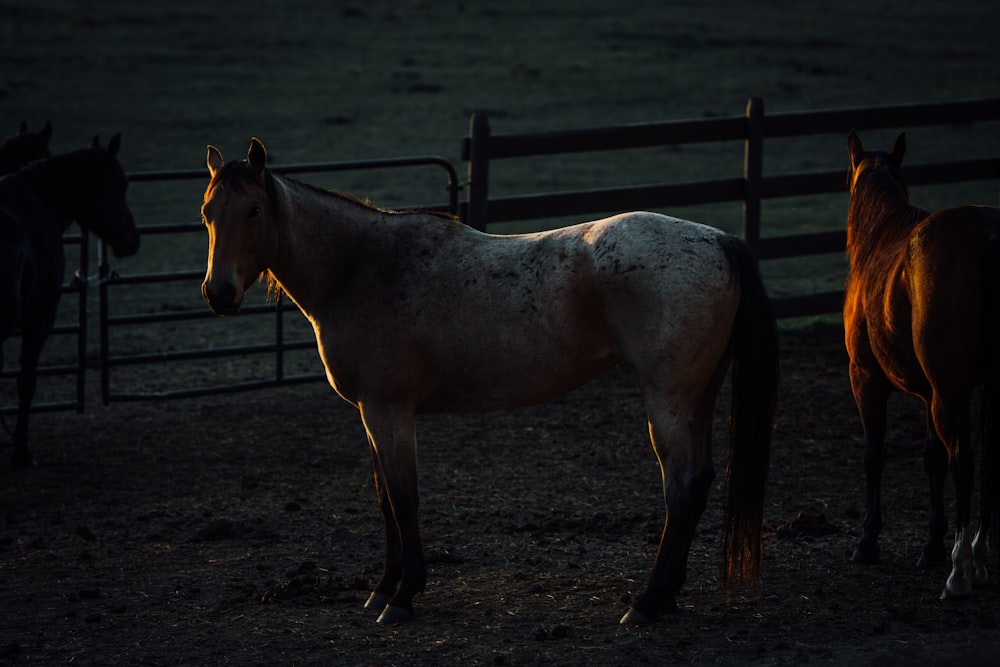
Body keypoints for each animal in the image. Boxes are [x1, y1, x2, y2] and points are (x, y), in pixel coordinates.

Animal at [0, 133, 142, 468]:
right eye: (122, 181)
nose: (133, 239)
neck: (38, 201)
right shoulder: (40, 317)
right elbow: (26, 382)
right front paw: (21, 452)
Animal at [201, 137, 780, 628]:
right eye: (208, 214)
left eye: (253, 211)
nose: (218, 293)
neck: (361, 267)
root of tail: (718, 239)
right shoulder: (369, 414)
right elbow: (385, 499)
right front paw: (383, 588)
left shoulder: (388, 411)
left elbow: (404, 499)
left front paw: (403, 595)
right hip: (698, 398)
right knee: (699, 482)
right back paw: (666, 597)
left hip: (668, 401)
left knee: (681, 486)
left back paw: (646, 602)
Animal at [844, 130, 1000, 600]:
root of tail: (987, 236)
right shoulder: (929, 391)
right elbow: (932, 460)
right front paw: (931, 545)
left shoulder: (866, 380)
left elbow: (874, 454)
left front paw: (867, 541)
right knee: (984, 458)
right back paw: (978, 557)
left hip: (950, 392)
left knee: (964, 460)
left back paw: (960, 571)